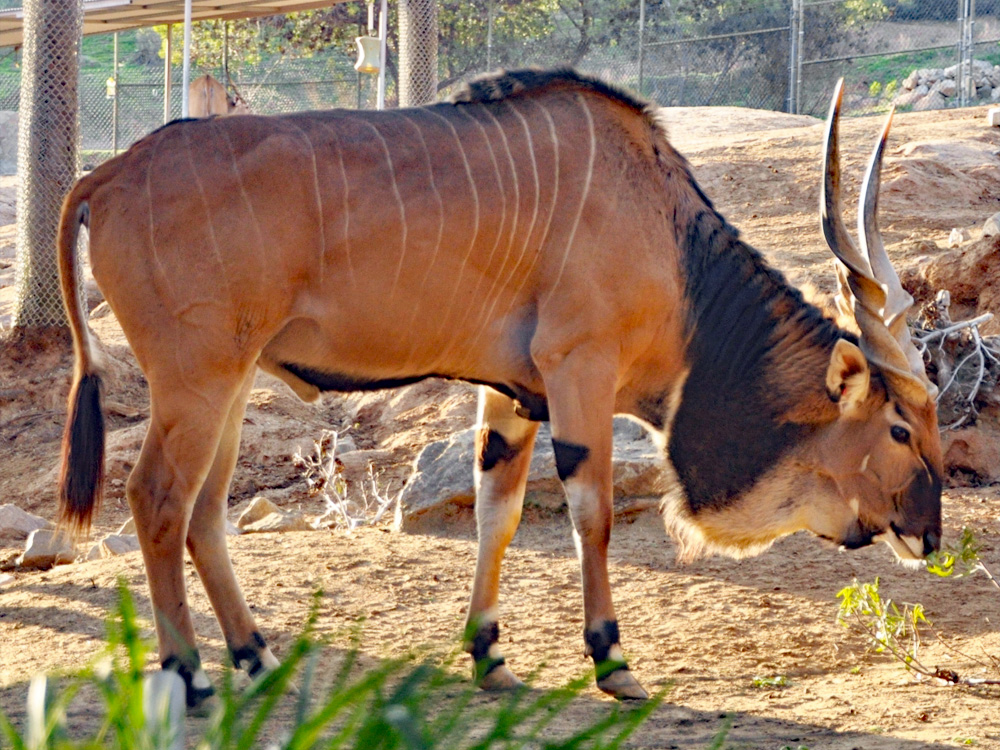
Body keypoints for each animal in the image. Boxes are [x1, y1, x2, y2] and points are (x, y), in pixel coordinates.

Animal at [58, 67, 940, 708]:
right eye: (899, 428)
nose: (927, 537)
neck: (668, 238)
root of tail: (107, 175)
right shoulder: (578, 369)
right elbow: (592, 514)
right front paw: (612, 662)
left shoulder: (514, 396)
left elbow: (498, 513)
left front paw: (489, 656)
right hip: (197, 384)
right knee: (156, 499)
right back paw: (190, 674)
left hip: (231, 387)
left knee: (204, 512)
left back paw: (256, 656)